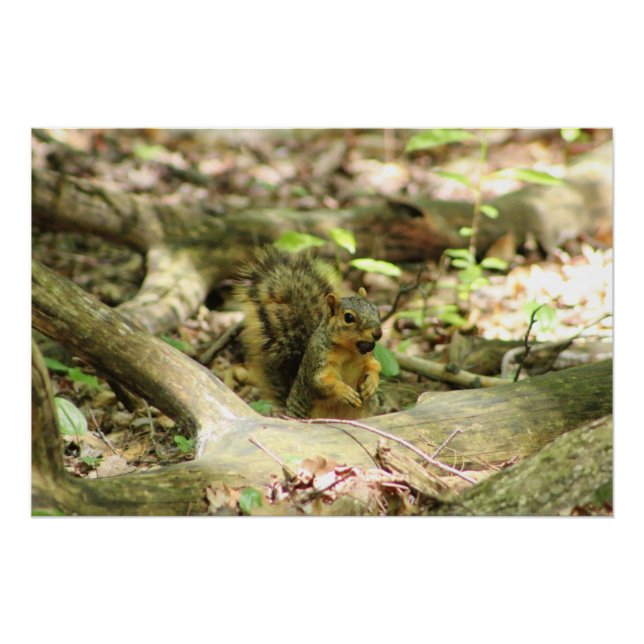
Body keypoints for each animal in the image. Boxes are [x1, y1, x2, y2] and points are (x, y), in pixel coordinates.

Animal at [235, 247, 383, 419]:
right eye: (348, 317)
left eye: (376, 310)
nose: (378, 334)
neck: (349, 350)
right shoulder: (318, 360)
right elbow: (321, 382)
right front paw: (345, 391)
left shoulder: (367, 356)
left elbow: (375, 366)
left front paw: (372, 383)